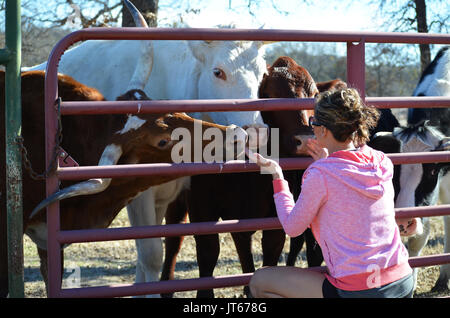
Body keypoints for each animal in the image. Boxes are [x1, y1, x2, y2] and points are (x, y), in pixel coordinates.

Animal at [29, 1, 268, 296]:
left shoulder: (165, 195)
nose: (256, 131)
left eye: (262, 72)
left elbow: (147, 255)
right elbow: (151, 253)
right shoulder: (136, 190)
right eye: (218, 72)